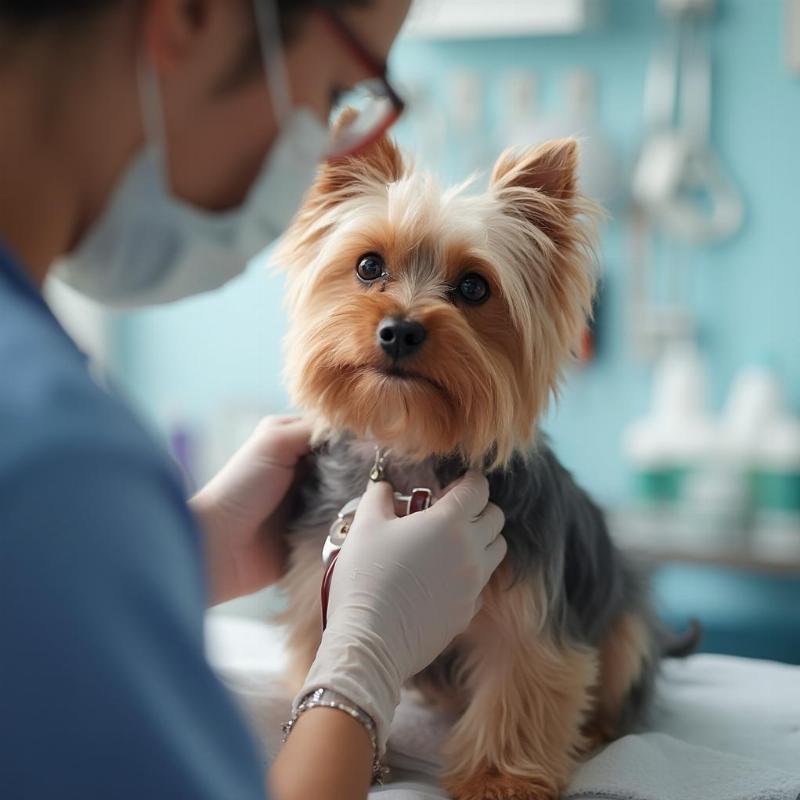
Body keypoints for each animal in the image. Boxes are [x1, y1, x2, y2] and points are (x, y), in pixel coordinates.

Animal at [276, 133, 664, 800]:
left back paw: (597, 730)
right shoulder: (317, 585)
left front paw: (498, 779)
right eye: (368, 266)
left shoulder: (532, 611)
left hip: (624, 616)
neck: (413, 448)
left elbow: (522, 680)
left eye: (475, 288)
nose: (399, 331)